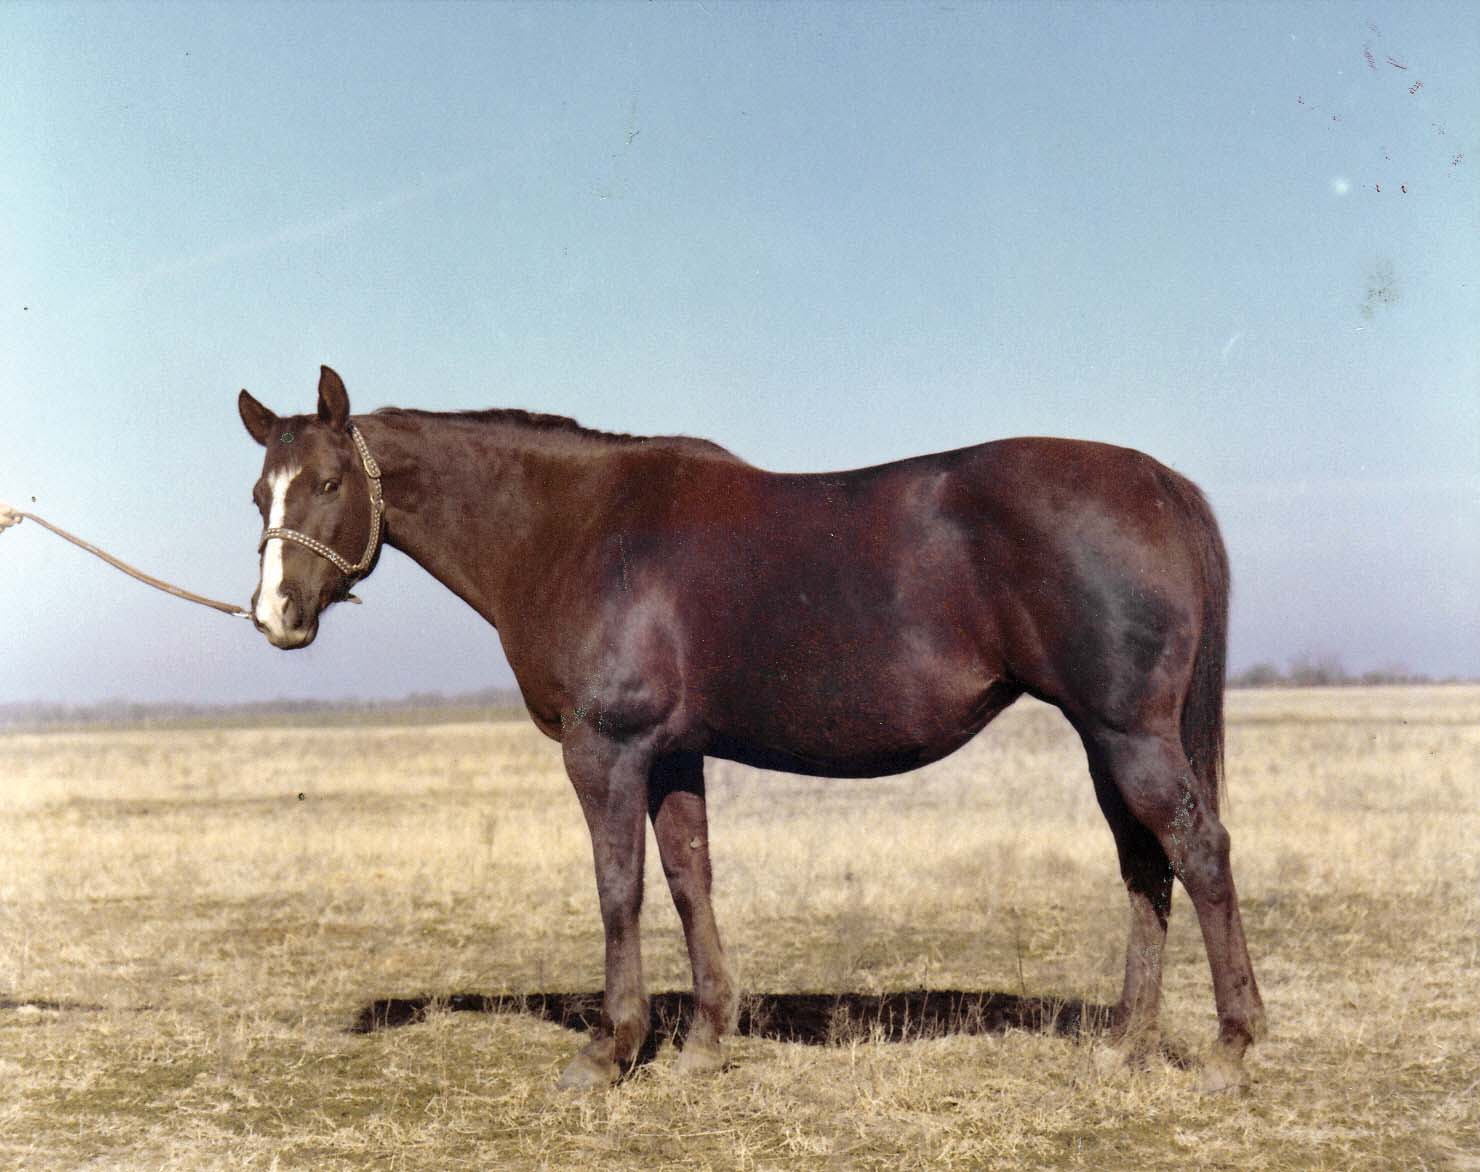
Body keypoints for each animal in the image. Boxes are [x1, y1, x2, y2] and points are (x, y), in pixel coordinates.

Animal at [239, 364, 1260, 1089]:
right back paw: (1128, 1045)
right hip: (1105, 739)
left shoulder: (605, 748)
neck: (574, 529)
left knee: (1198, 853)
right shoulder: (673, 753)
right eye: (260, 494)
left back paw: (1229, 1048)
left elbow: (619, 889)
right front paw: (705, 1041)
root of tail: (1160, 483)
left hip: (1129, 734)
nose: (275, 616)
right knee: (1145, 866)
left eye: (326, 482)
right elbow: (690, 879)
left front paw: (610, 1051)